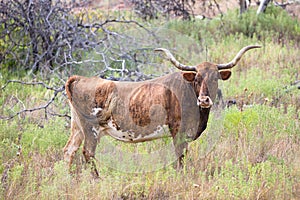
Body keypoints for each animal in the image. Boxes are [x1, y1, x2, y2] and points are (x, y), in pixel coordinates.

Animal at [62, 45, 260, 175]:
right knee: (88, 153)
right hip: (91, 129)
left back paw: (68, 179)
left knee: (69, 151)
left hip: (77, 128)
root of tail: (80, 78)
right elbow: (180, 158)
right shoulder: (179, 132)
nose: (204, 99)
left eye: (214, 78)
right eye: (196, 78)